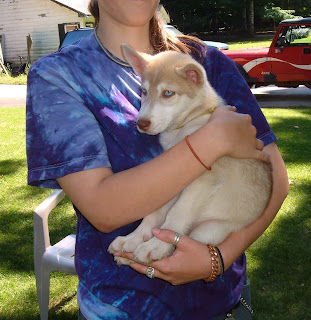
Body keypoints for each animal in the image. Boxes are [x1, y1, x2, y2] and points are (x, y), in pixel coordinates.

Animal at [109, 45, 272, 264]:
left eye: (168, 93)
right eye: (144, 91)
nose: (141, 124)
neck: (186, 124)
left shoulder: (203, 180)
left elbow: (176, 215)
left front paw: (156, 246)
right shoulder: (174, 179)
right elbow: (154, 213)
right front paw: (133, 238)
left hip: (211, 229)